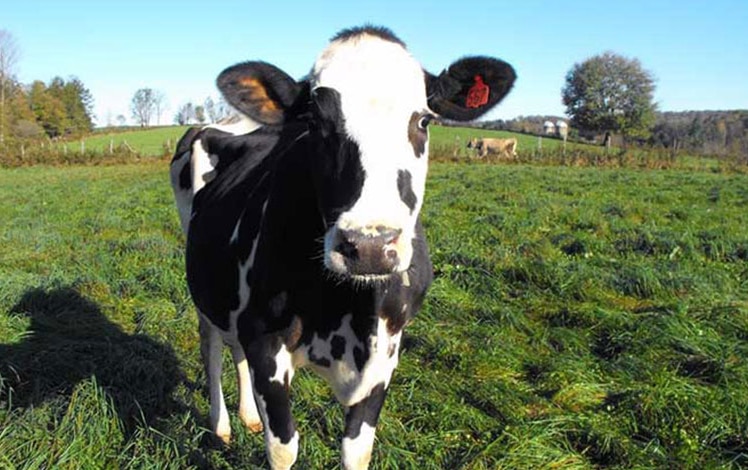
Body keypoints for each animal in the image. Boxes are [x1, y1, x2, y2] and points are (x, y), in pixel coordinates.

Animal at [169, 26, 516, 470]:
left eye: (423, 119)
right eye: (316, 123)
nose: (369, 245)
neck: (352, 306)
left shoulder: (387, 351)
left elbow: (356, 449)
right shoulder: (265, 339)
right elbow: (283, 447)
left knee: (233, 349)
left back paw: (247, 416)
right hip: (206, 288)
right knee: (212, 347)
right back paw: (222, 425)